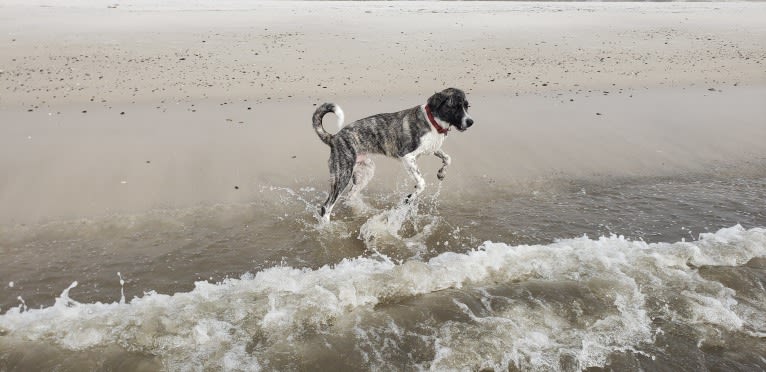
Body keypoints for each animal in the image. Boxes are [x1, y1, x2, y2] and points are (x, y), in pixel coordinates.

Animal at [314, 87, 474, 221]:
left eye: (467, 106)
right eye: (455, 107)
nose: (471, 122)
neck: (433, 120)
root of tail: (334, 137)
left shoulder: (432, 148)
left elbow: (448, 158)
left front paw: (441, 173)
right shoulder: (407, 157)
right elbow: (421, 183)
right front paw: (409, 198)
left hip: (366, 171)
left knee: (350, 196)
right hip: (343, 175)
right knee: (326, 207)